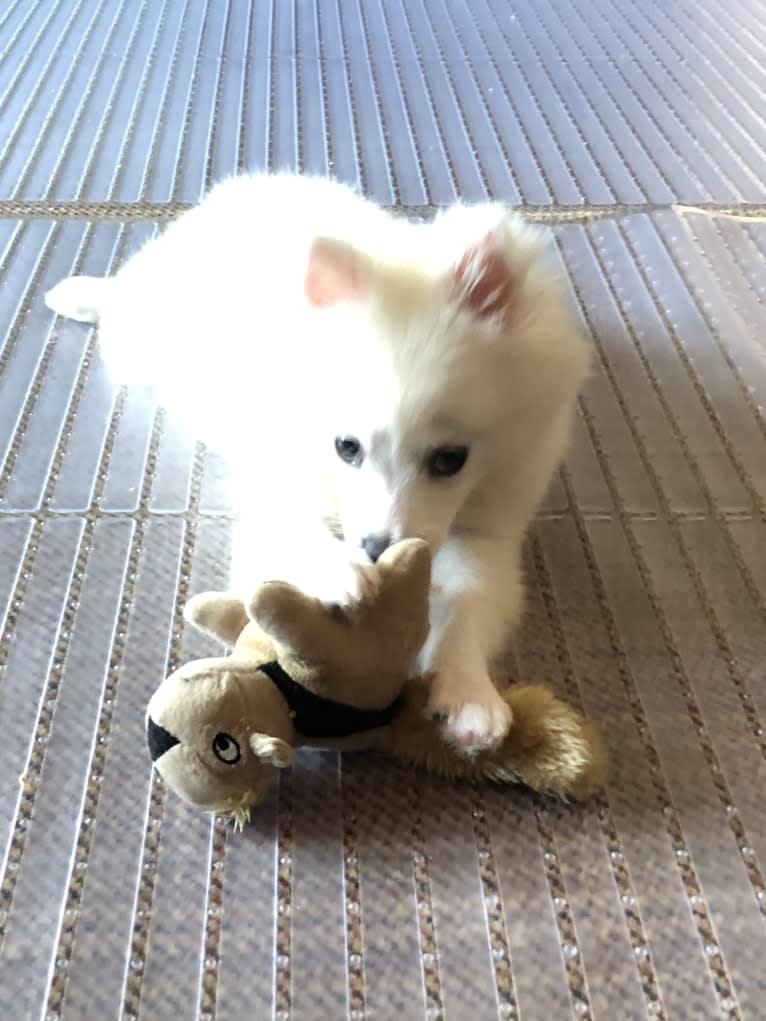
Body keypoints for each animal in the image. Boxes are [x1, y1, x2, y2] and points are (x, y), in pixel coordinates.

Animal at [46, 175, 588, 751]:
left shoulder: (491, 524)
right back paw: (79, 293)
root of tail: (231, 195)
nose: (376, 550)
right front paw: (340, 570)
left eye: (450, 459)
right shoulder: (276, 483)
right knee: (119, 298)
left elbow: (470, 600)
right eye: (346, 447)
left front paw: (469, 696)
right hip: (138, 335)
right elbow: (293, 533)